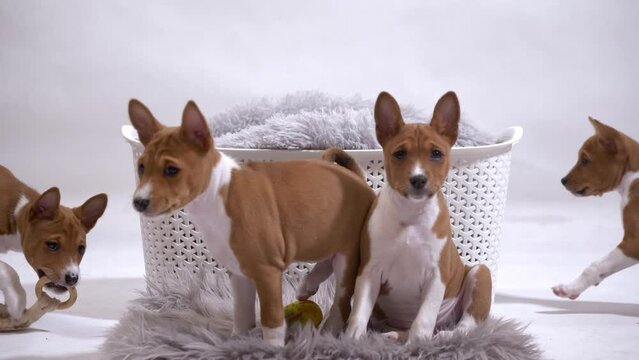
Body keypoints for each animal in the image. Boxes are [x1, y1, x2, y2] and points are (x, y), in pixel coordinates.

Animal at [129, 98, 376, 346]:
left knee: (342, 301)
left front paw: (272, 348)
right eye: (141, 167)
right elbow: (242, 312)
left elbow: (271, 318)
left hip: (348, 255)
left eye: (171, 170)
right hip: (323, 237)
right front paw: (237, 342)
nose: (139, 202)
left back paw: (328, 331)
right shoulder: (238, 271)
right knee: (326, 260)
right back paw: (307, 285)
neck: (217, 197)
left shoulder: (266, 272)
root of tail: (356, 177)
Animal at [342, 90, 492, 344]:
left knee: (466, 325)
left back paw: (445, 336)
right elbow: (359, 312)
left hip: (481, 274)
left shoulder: (436, 275)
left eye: (436, 154)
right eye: (400, 154)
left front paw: (417, 345)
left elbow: (423, 319)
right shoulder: (369, 272)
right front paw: (352, 340)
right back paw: (393, 335)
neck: (410, 214)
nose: (418, 179)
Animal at [552, 117, 636, 298]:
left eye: (585, 160)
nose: (563, 180)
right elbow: (604, 267)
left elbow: (595, 266)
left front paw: (569, 288)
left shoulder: (633, 241)